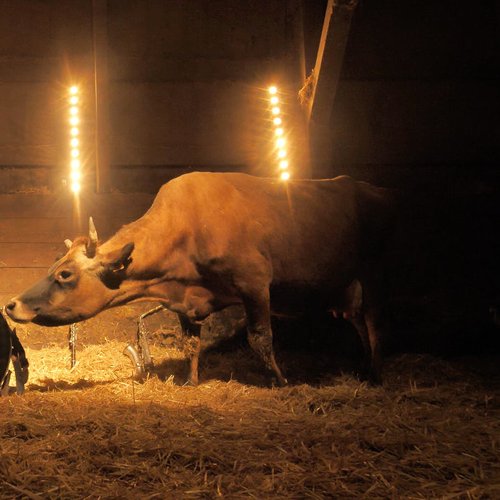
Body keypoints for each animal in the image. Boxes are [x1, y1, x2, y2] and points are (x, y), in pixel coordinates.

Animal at [5, 174, 392, 384]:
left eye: (65, 274)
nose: (11, 304)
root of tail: (373, 189)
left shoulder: (255, 283)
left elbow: (261, 339)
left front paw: (282, 381)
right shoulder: (184, 302)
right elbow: (191, 343)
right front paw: (190, 380)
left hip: (374, 272)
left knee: (375, 321)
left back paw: (376, 372)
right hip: (348, 284)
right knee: (358, 320)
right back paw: (363, 366)